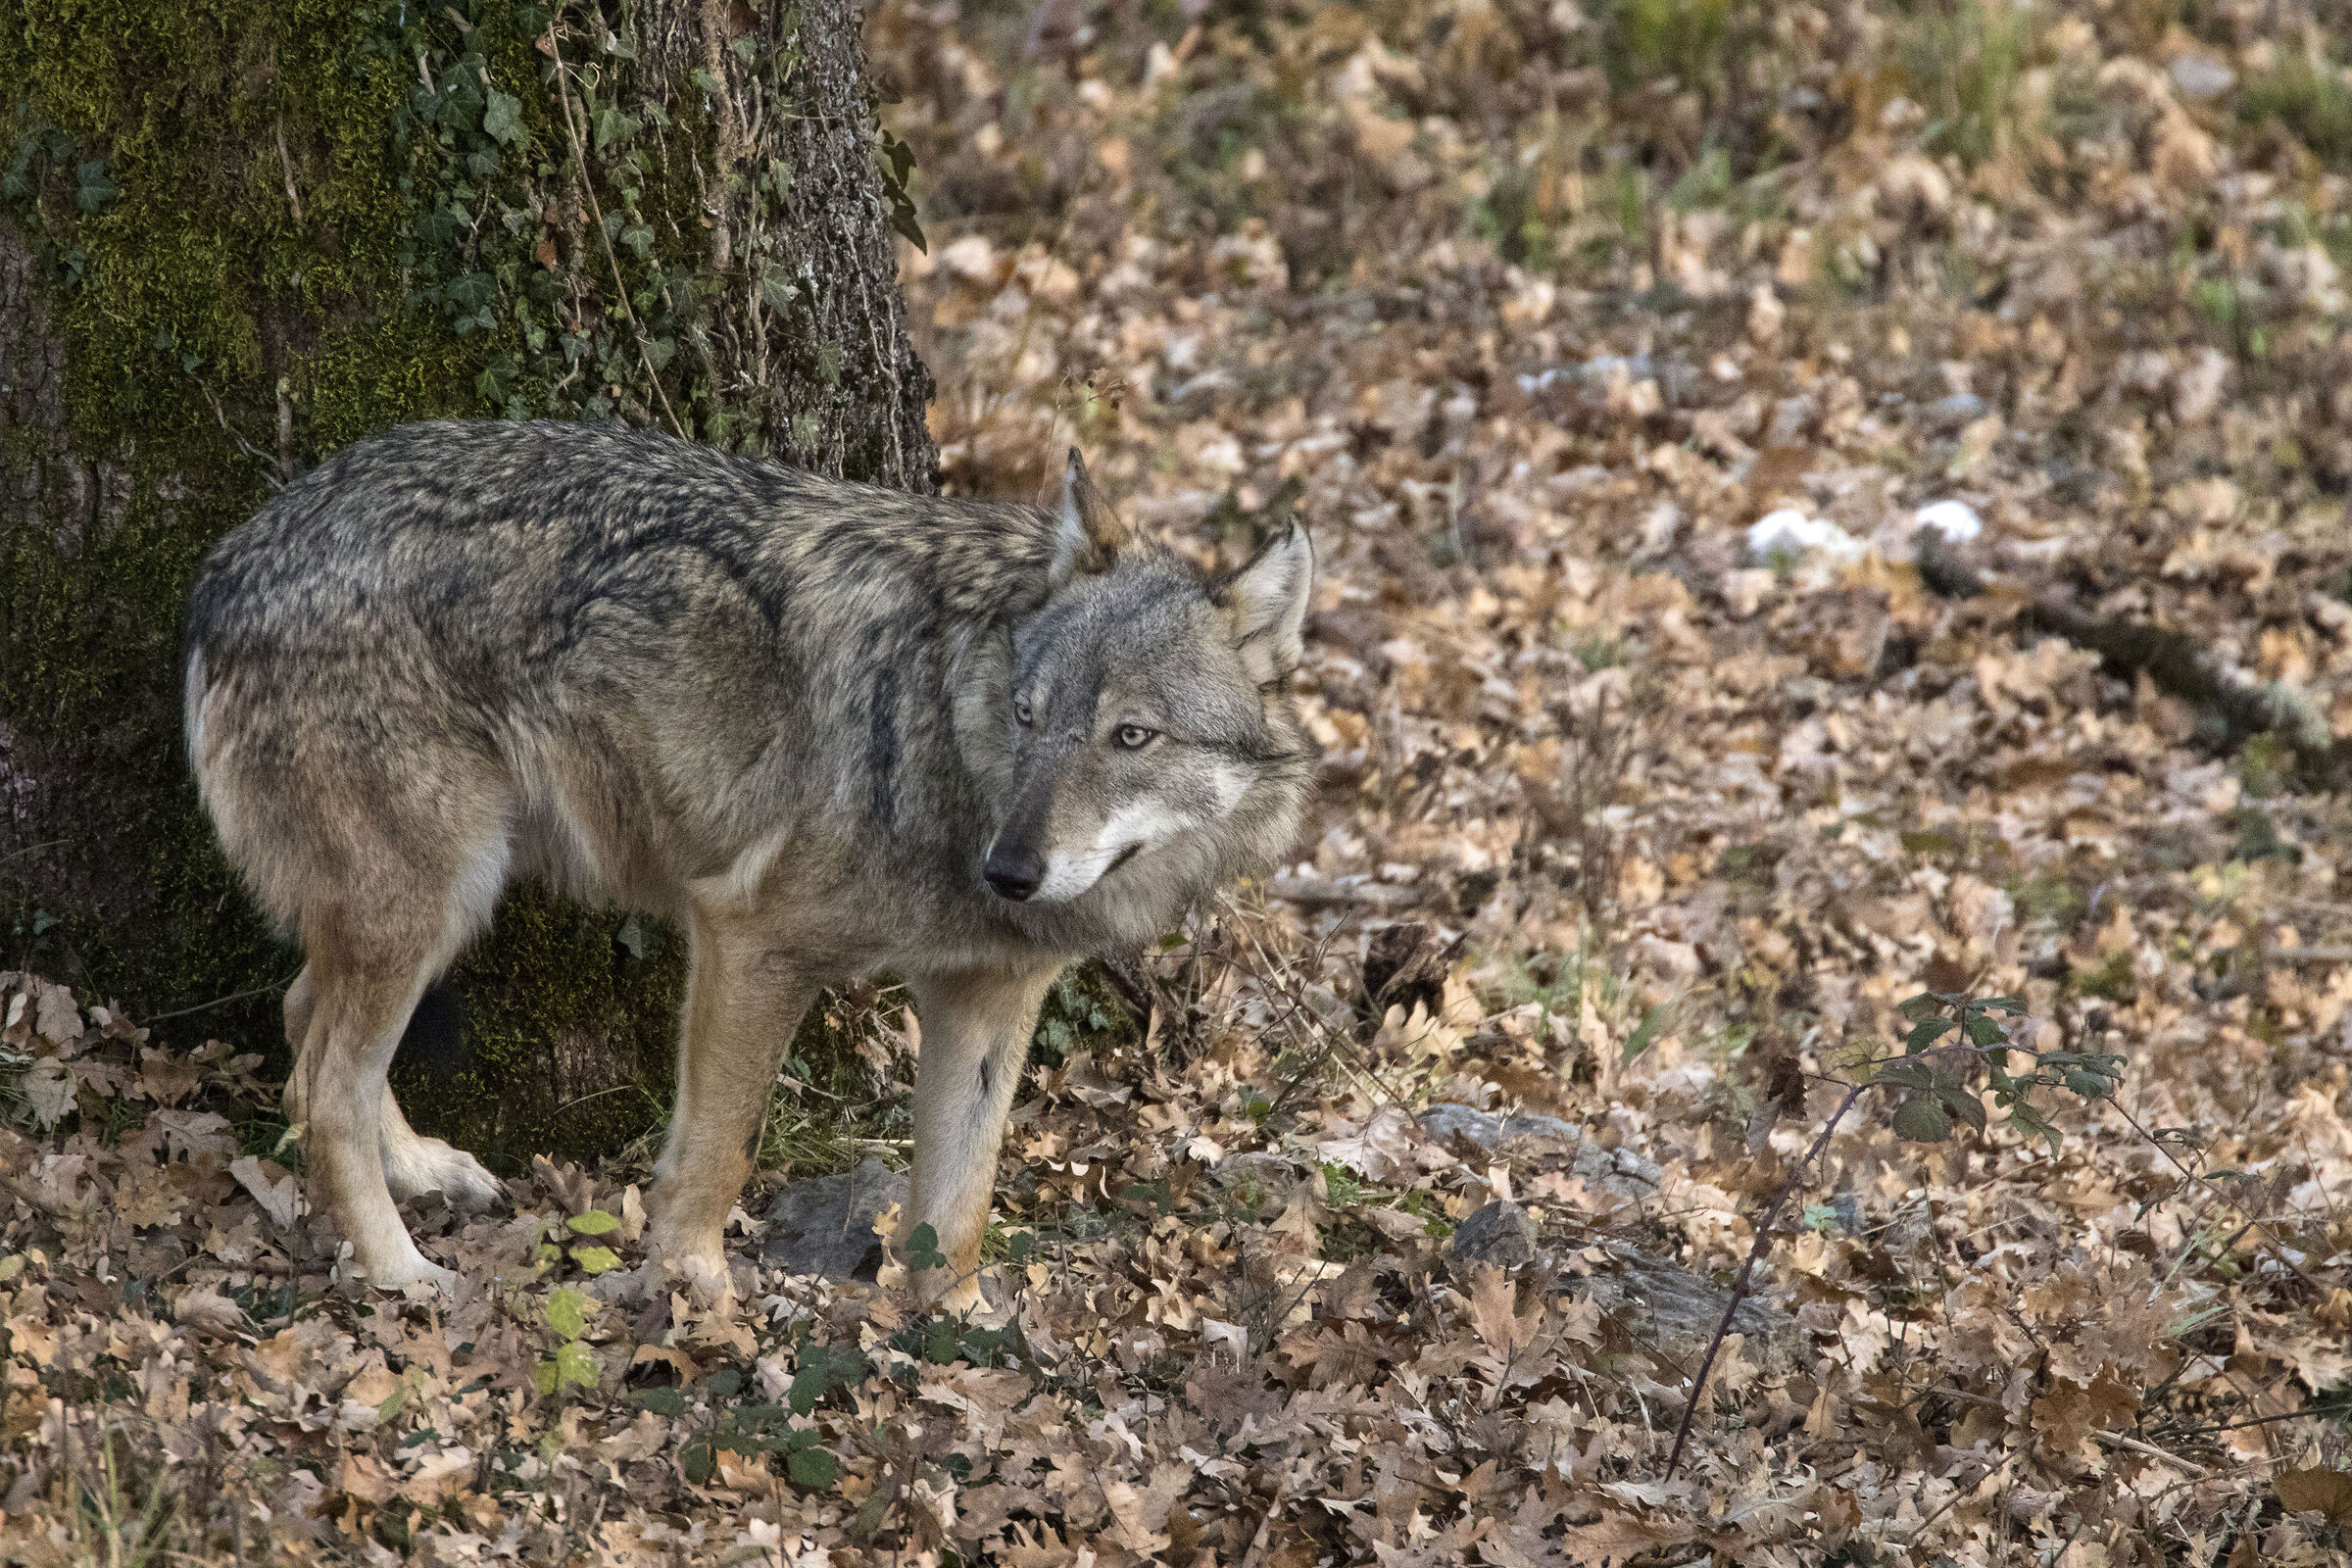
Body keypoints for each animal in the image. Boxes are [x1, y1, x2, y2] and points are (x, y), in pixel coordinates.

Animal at [183, 420, 1316, 1304]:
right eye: (1032, 718)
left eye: (1131, 736)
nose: (1010, 872)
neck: (947, 735)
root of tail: (230, 564)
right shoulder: (749, 939)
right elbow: (721, 1149)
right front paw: (691, 1289)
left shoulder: (987, 998)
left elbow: (960, 1202)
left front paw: (952, 1332)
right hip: (436, 897)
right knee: (322, 1086)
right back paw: (400, 1273)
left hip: (436, 904)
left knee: (300, 1018)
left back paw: (425, 1170)